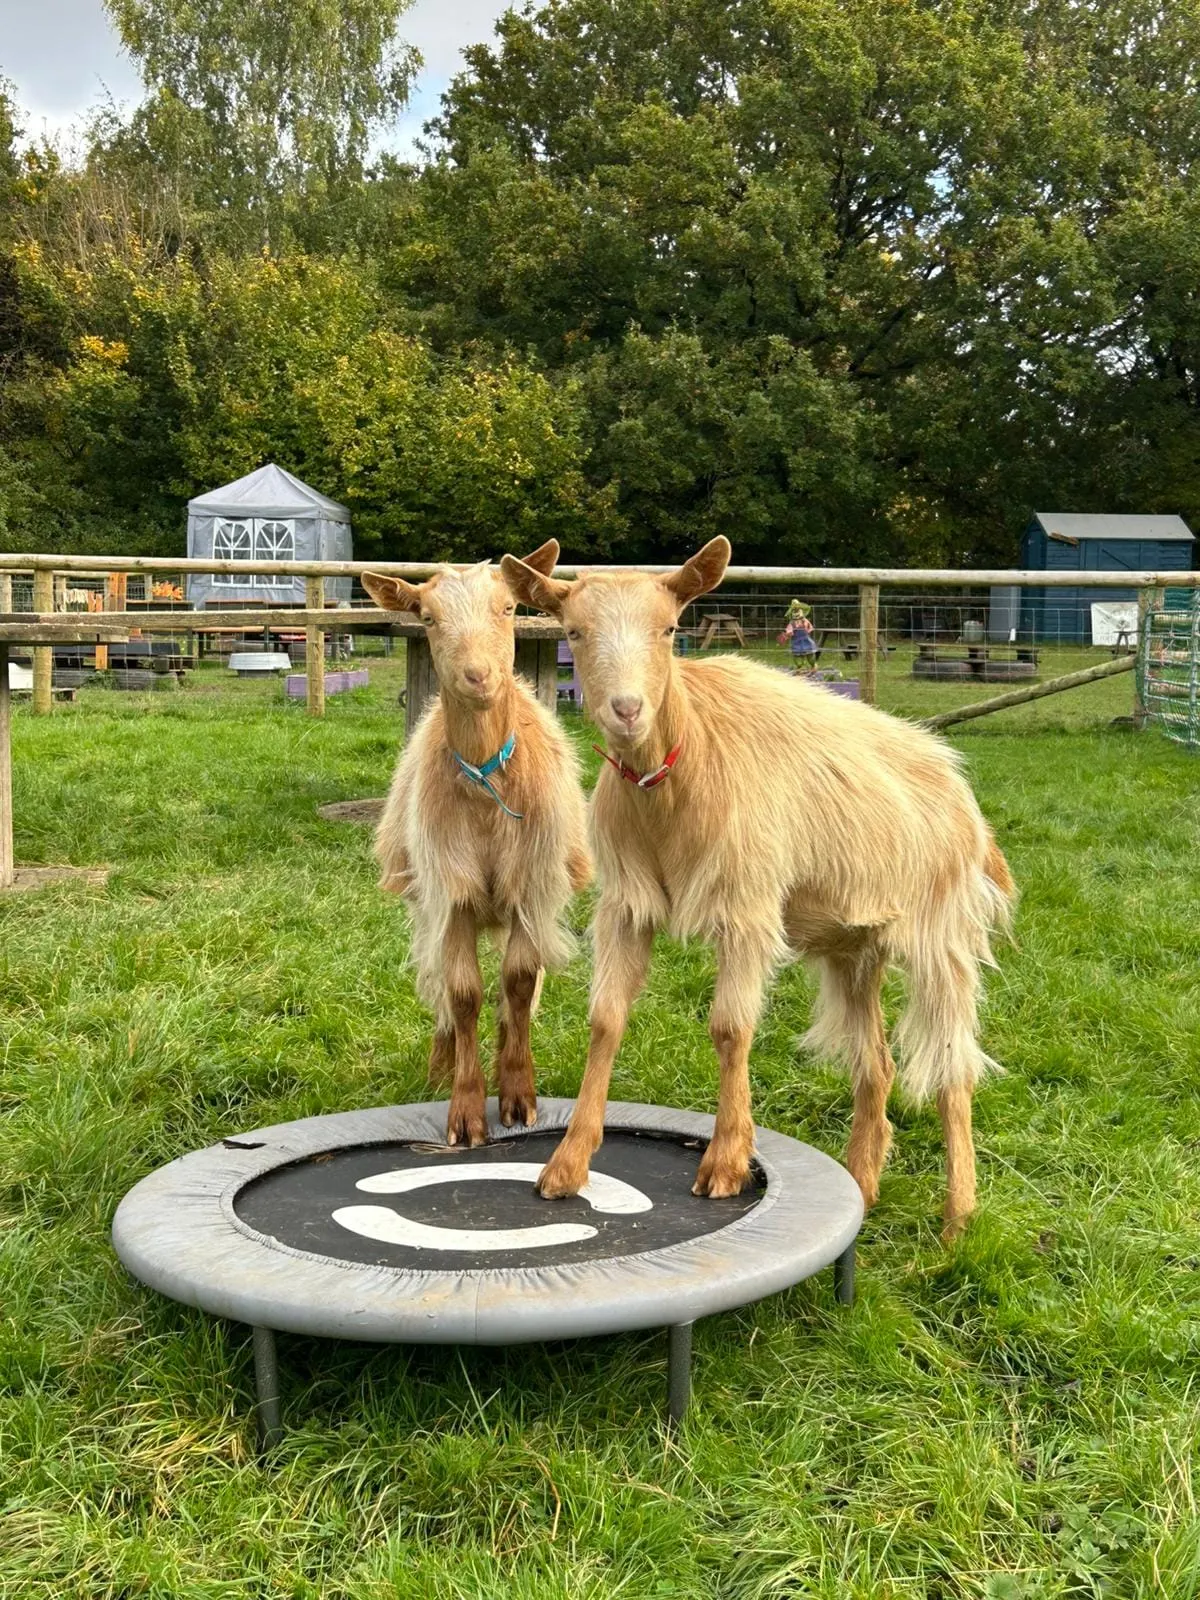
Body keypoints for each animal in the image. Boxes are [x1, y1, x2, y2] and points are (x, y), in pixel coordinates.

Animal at [362, 544, 591, 1147]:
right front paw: (465, 1109)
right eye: (425, 617)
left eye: (509, 607)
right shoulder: (453, 891)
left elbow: (518, 982)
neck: (489, 785)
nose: (478, 676)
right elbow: (463, 993)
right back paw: (440, 1062)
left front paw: (517, 1093)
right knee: (440, 985)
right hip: (425, 897)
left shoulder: (531, 886)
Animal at [500, 537, 1015, 1238]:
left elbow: (729, 1027)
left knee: (952, 1068)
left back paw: (958, 1217)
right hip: (856, 947)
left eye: (669, 629)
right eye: (574, 632)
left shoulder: (746, 908)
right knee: (876, 1065)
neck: (677, 779)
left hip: (943, 937)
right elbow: (606, 1019)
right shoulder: (627, 907)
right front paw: (567, 1164)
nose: (627, 711)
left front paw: (725, 1162)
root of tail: (961, 791)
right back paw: (860, 1188)